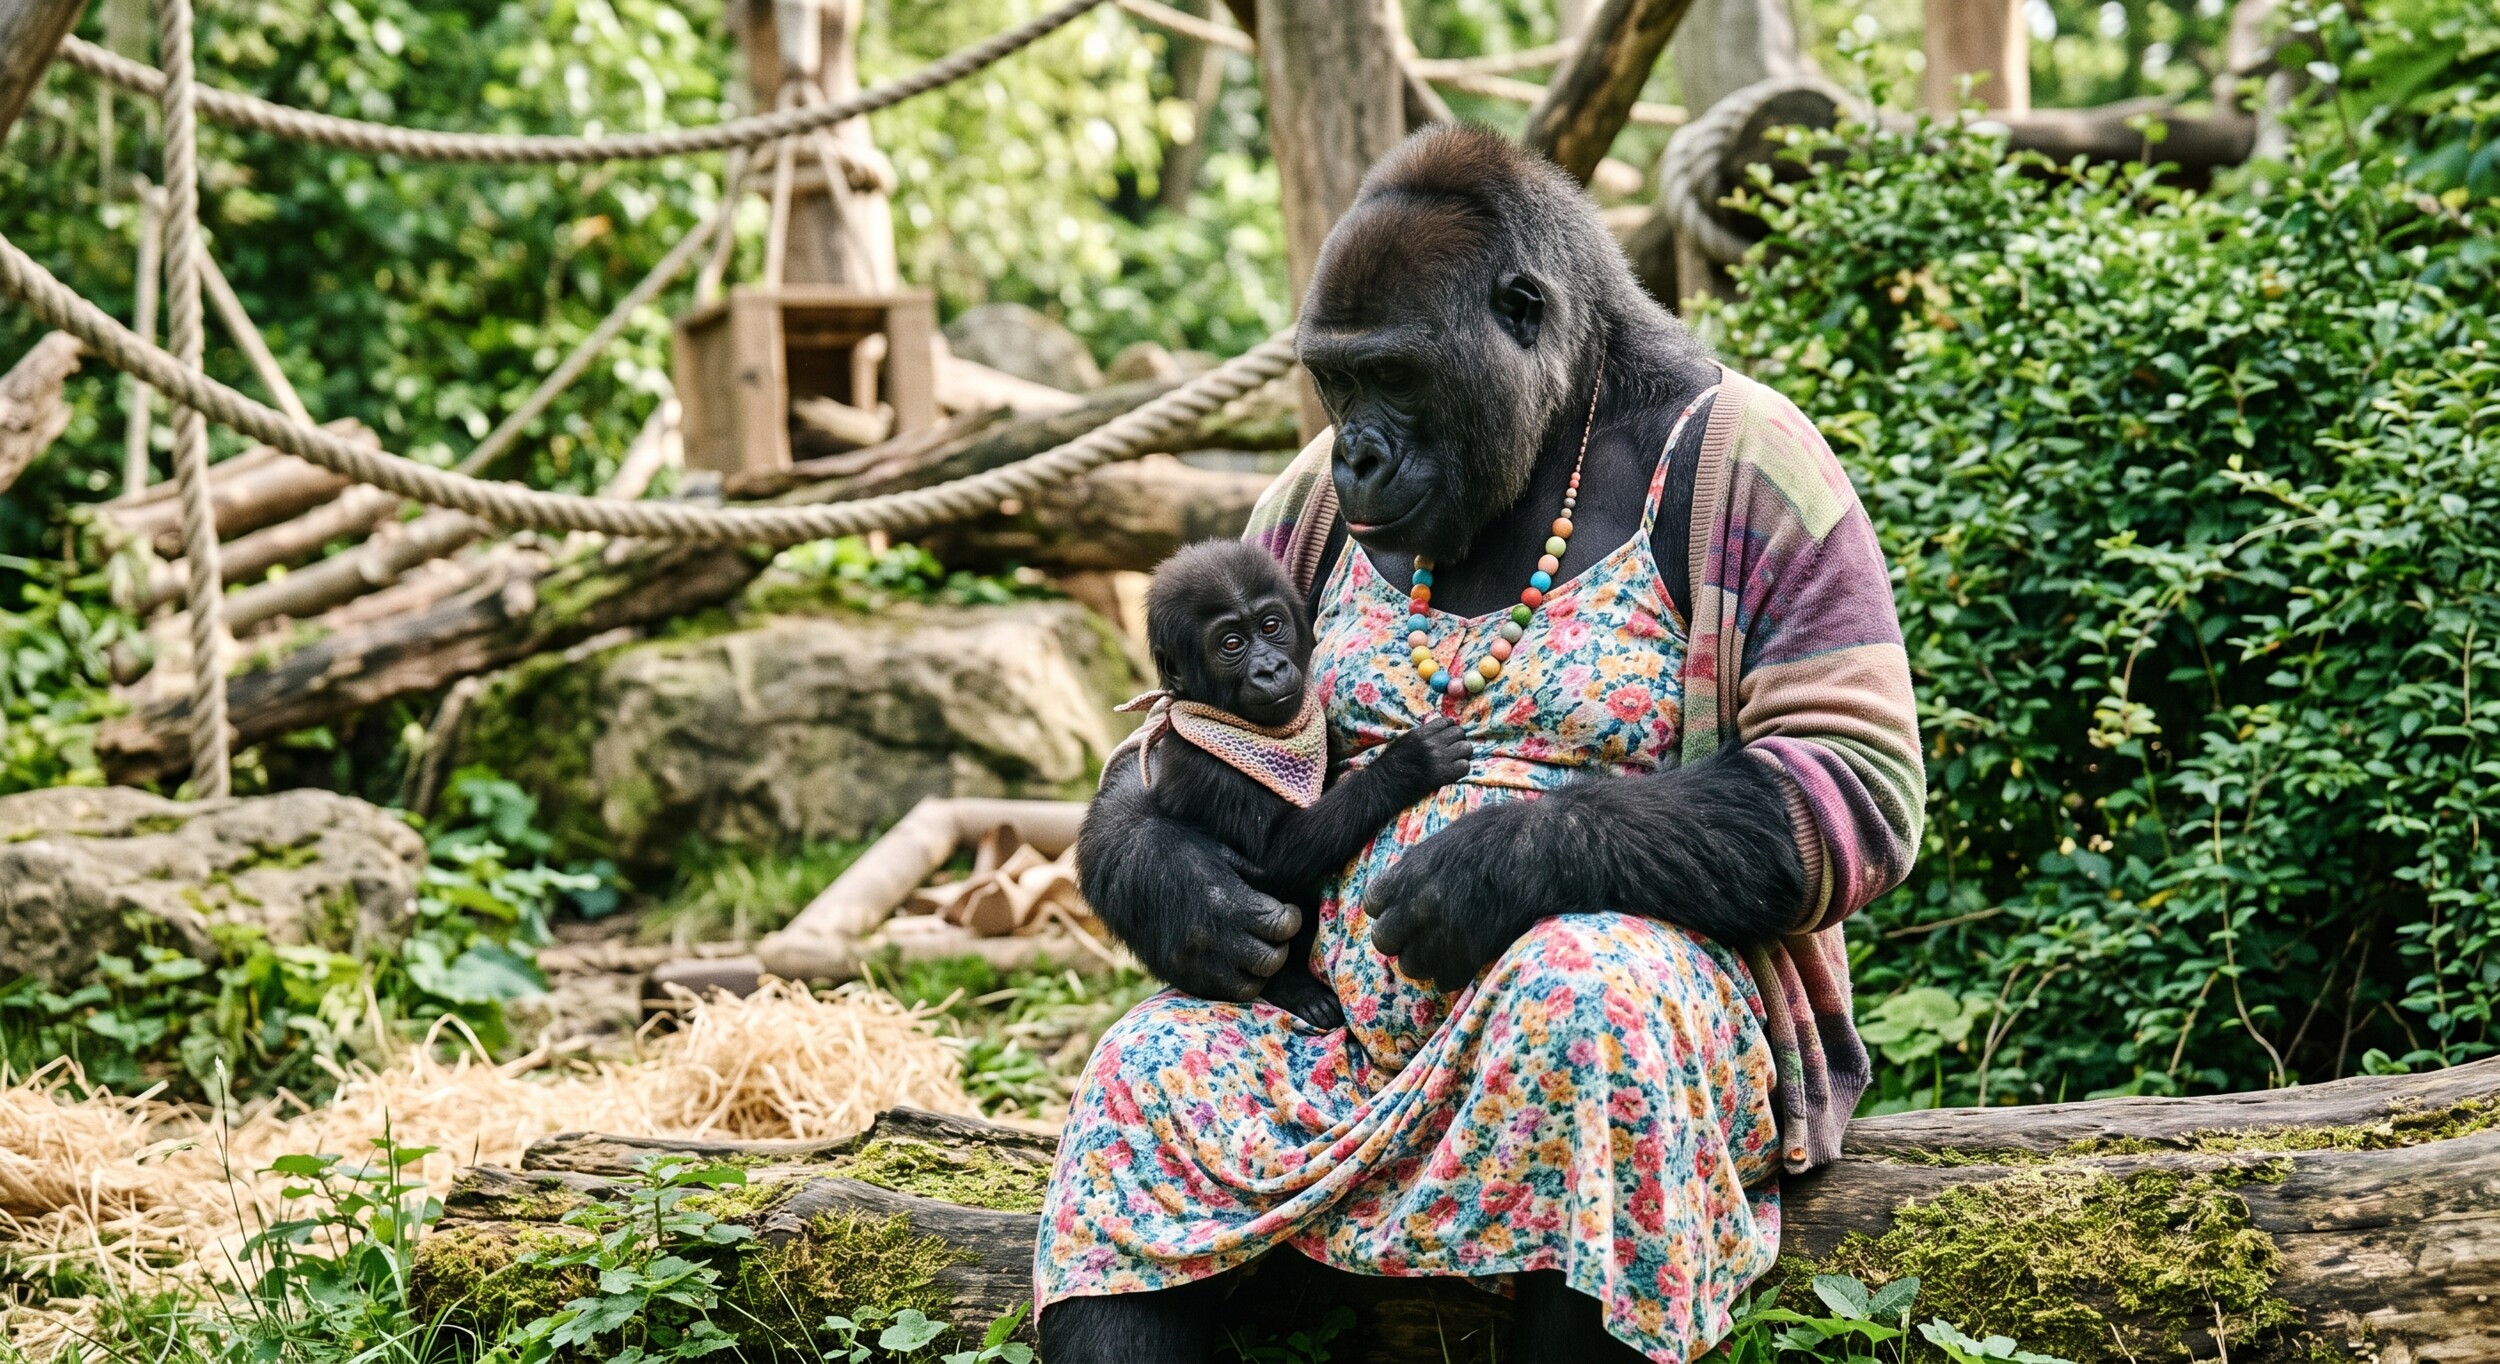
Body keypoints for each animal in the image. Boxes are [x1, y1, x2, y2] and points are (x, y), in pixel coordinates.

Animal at [1076, 539, 1475, 1032]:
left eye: (1271, 626)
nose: (1268, 668)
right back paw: (1293, 989)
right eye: (1231, 644)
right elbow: (1275, 856)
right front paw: (1409, 763)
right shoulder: (1205, 769)